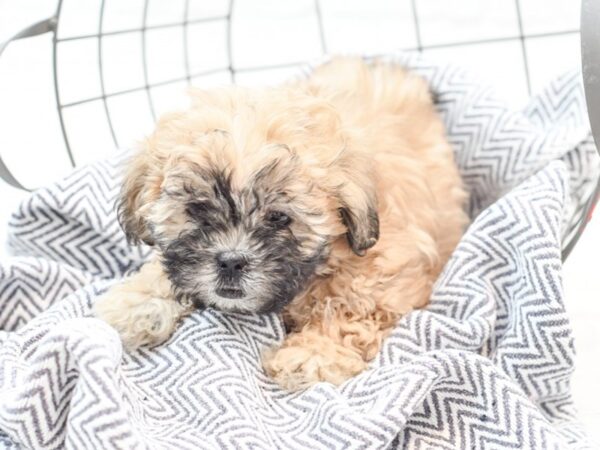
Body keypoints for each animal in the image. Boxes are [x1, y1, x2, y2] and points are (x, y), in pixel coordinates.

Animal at [95, 58, 468, 390]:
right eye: (198, 209)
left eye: (278, 218)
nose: (231, 261)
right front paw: (136, 303)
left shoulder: (383, 275)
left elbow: (349, 310)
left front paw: (311, 356)